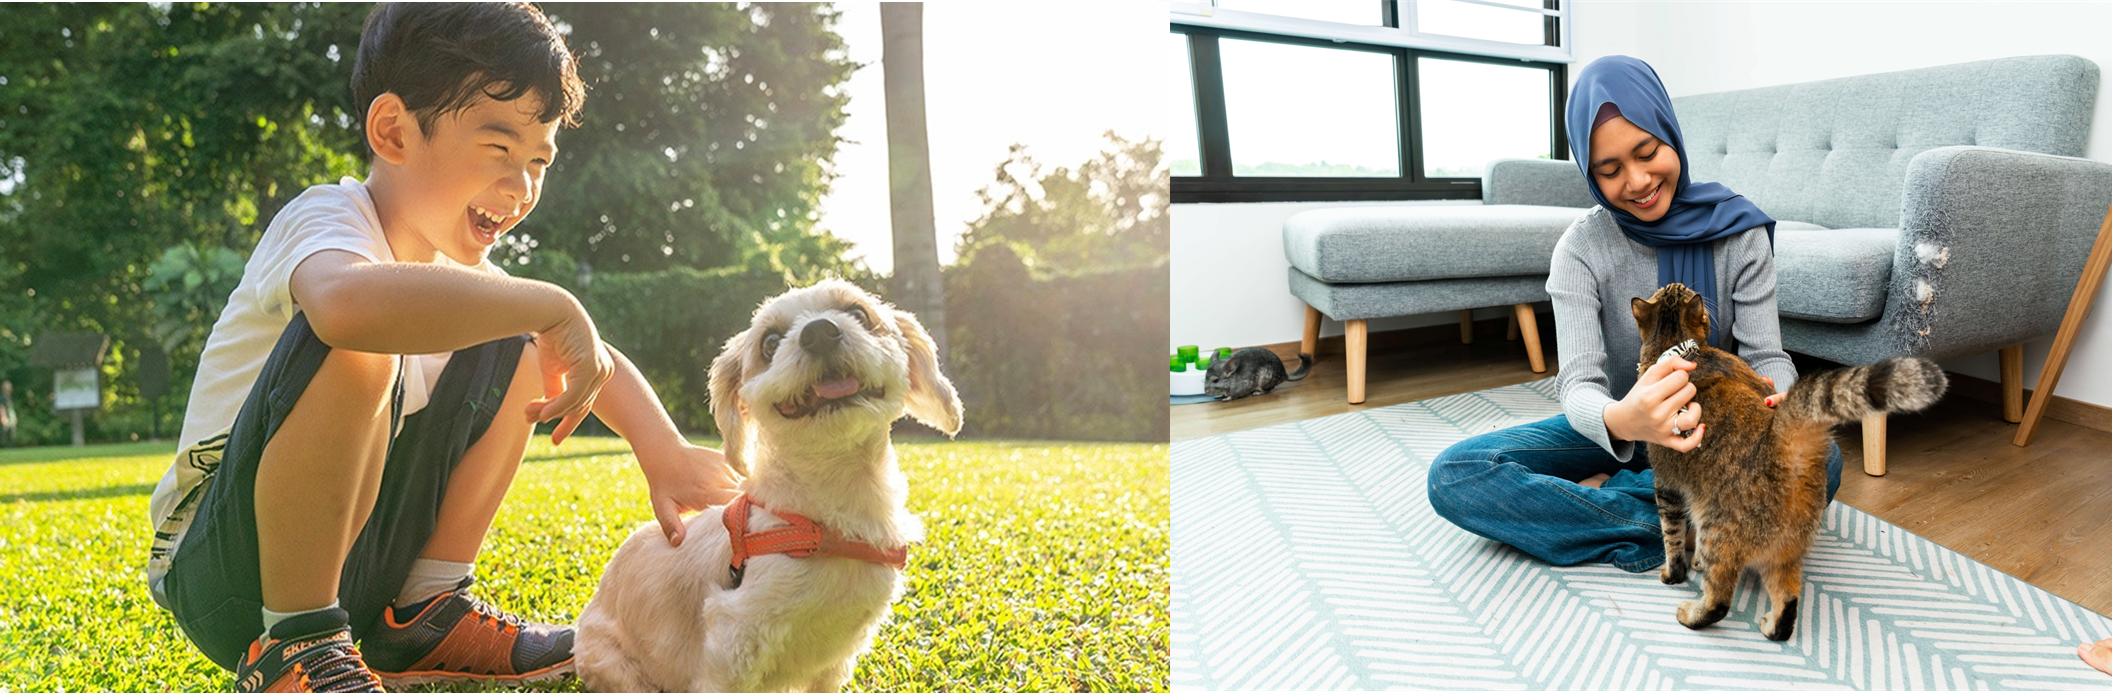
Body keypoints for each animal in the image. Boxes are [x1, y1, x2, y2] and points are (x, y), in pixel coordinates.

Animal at [578, 281, 971, 693]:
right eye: (769, 342)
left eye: (859, 313)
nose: (819, 332)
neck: (827, 516)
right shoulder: (732, 639)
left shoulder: (835, 660)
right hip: (615, 665)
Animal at [1630, 281, 1943, 638]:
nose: (1679, 282)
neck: (1676, 346)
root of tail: (1786, 445)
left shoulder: (1667, 486)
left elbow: (1672, 538)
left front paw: (1674, 573)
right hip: (1784, 549)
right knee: (1788, 597)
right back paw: (1771, 626)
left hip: (1717, 532)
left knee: (1720, 599)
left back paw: (1691, 613)